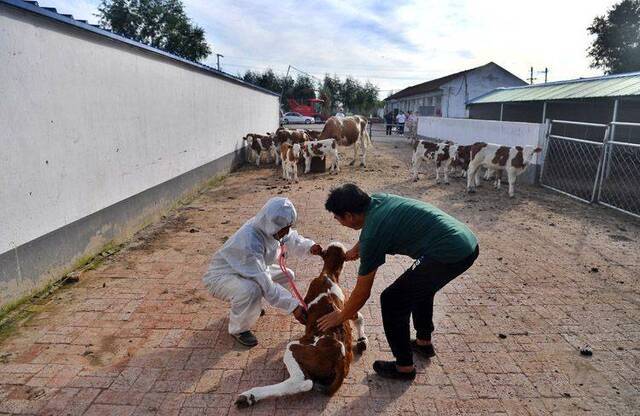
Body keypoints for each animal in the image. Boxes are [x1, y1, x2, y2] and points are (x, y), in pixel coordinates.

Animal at [235, 242, 368, 408]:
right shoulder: (345, 307)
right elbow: (357, 314)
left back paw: (249, 396)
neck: (329, 275)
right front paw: (362, 340)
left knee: (302, 382)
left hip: (294, 349)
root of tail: (341, 360)